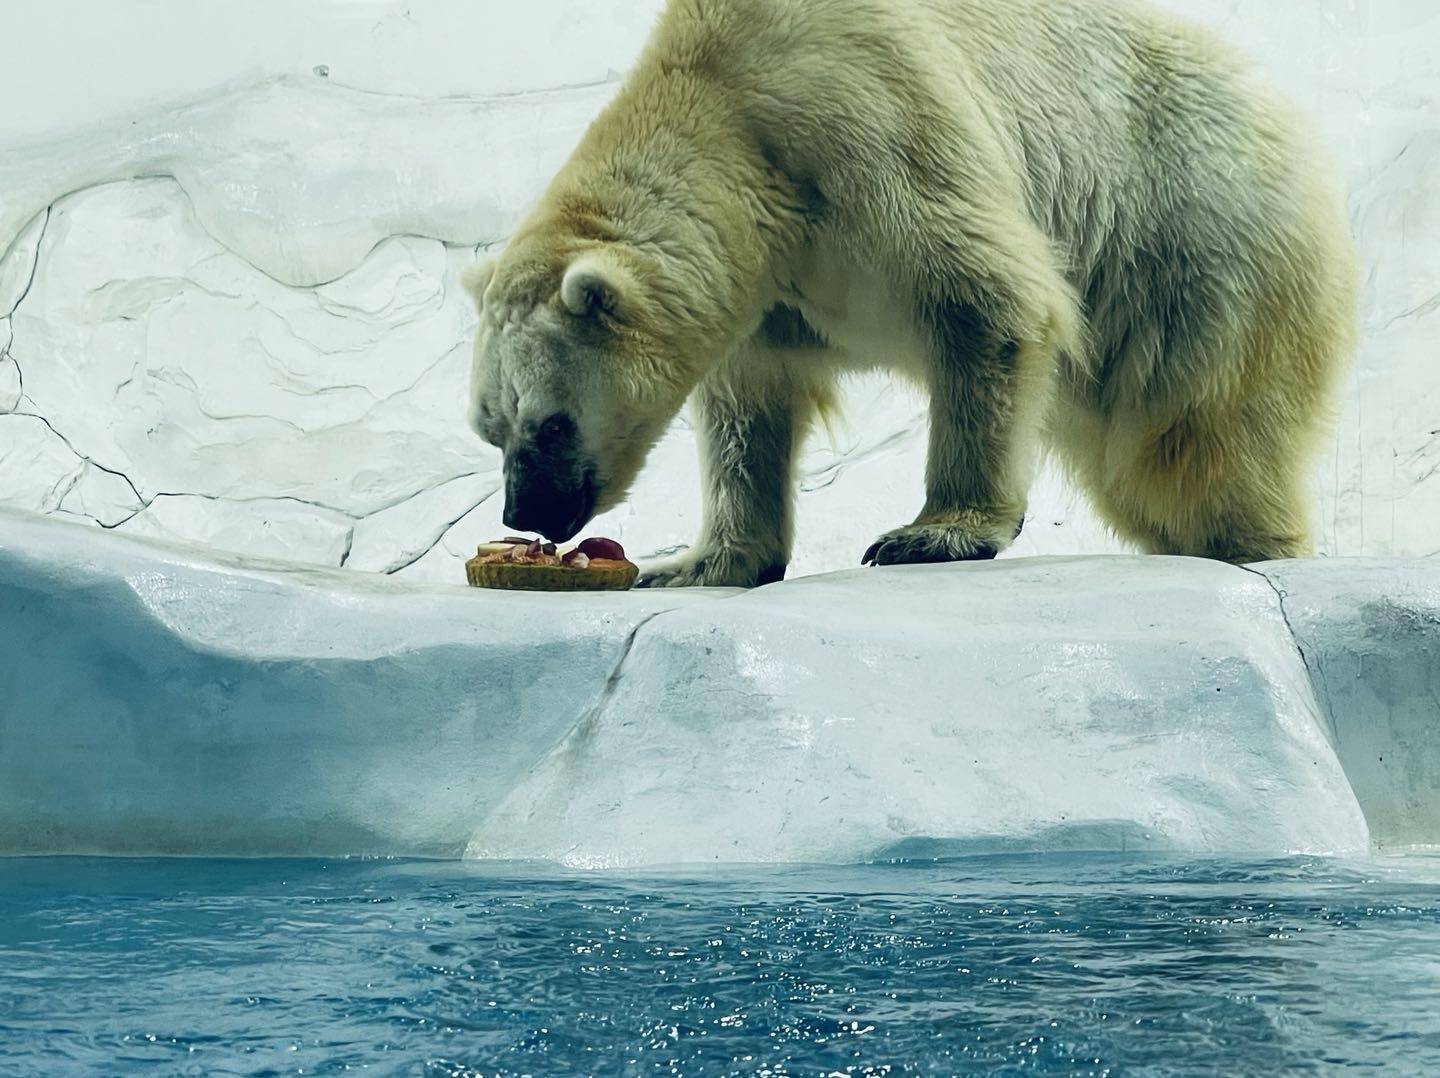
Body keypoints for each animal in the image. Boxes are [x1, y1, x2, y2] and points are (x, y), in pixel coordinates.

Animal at [463, 0, 1359, 590]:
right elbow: (748, 408)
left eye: (552, 422)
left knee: (1193, 437)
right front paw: (694, 561)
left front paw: (931, 535)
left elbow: (988, 300)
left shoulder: (866, 128)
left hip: (1189, 242)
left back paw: (1249, 542)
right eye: (489, 425)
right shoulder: (764, 282)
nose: (526, 511)